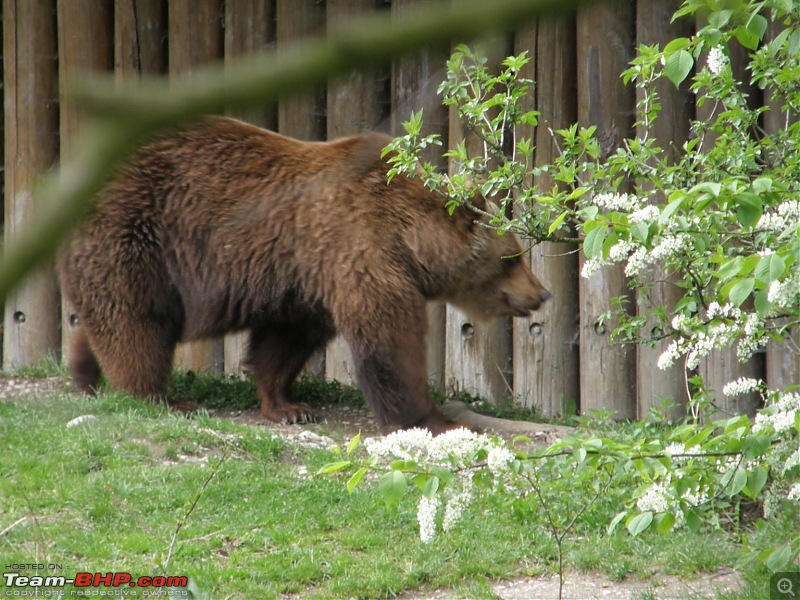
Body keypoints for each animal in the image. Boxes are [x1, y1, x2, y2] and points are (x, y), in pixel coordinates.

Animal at [57, 117, 552, 434]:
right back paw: (159, 396)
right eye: (512, 257)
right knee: (136, 321)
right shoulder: (362, 251)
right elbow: (390, 342)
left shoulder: (304, 276)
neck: (410, 241)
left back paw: (85, 373)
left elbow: (284, 342)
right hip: (138, 236)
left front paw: (288, 406)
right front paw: (433, 417)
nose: (542, 293)